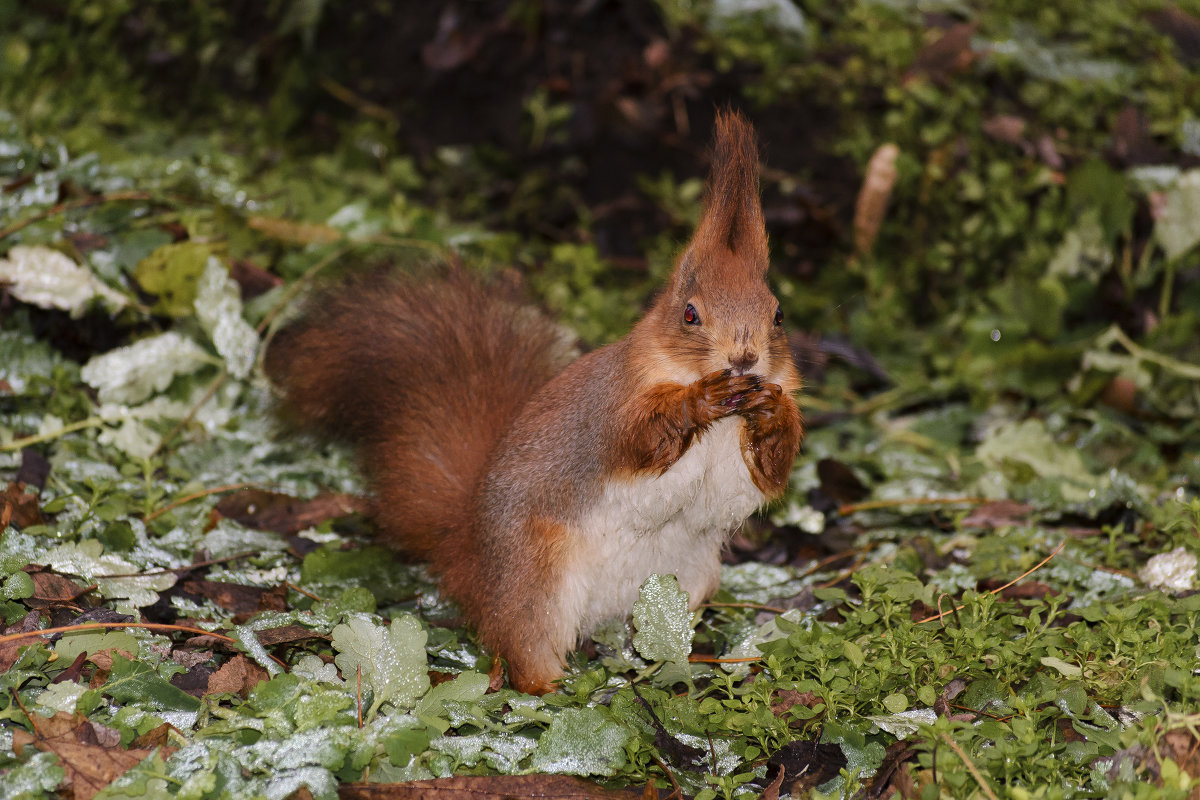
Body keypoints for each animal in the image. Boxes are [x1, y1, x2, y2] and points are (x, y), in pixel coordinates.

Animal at [267, 110, 801, 695]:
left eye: (778, 314)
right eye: (689, 314)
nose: (745, 359)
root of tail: (473, 561)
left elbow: (772, 472)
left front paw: (772, 414)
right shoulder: (611, 408)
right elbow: (639, 439)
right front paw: (699, 400)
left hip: (684, 582)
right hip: (538, 580)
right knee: (522, 651)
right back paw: (551, 687)